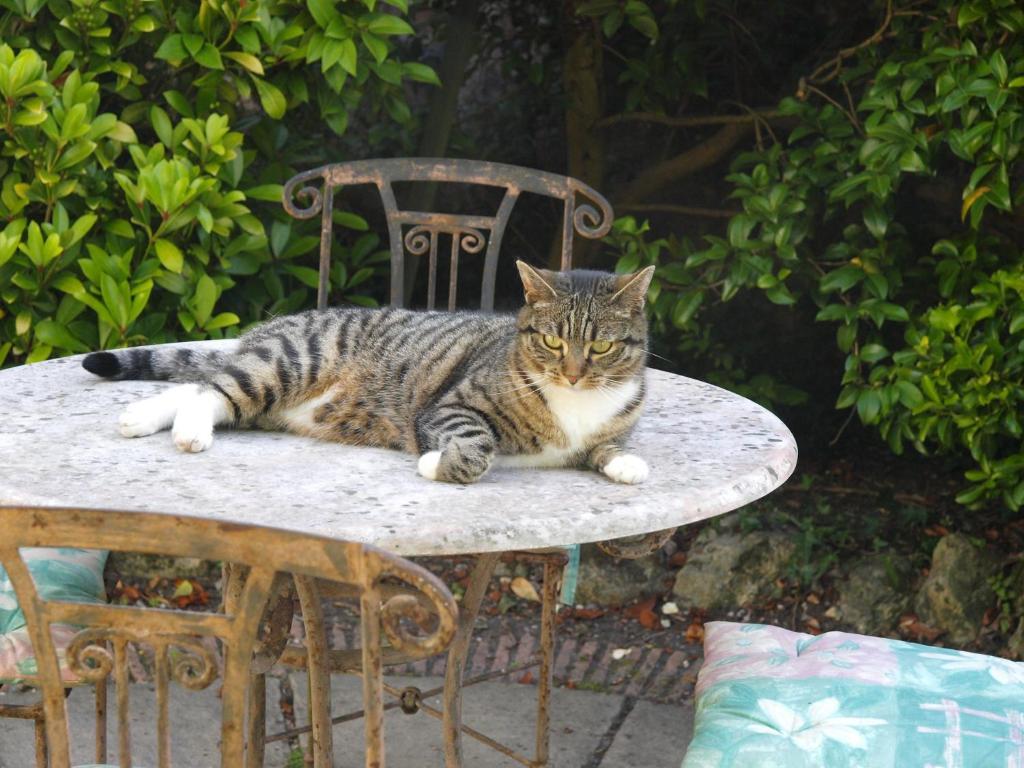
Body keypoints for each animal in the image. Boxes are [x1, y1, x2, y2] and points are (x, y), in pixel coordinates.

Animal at [81, 262, 655, 483]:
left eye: (601, 346)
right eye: (553, 341)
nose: (574, 375)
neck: (575, 404)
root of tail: (275, 325)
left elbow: (611, 446)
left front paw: (625, 463)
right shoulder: (450, 406)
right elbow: (477, 450)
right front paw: (435, 463)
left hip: (264, 397)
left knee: (201, 384)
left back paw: (140, 417)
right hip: (288, 362)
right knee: (210, 389)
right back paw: (188, 433)